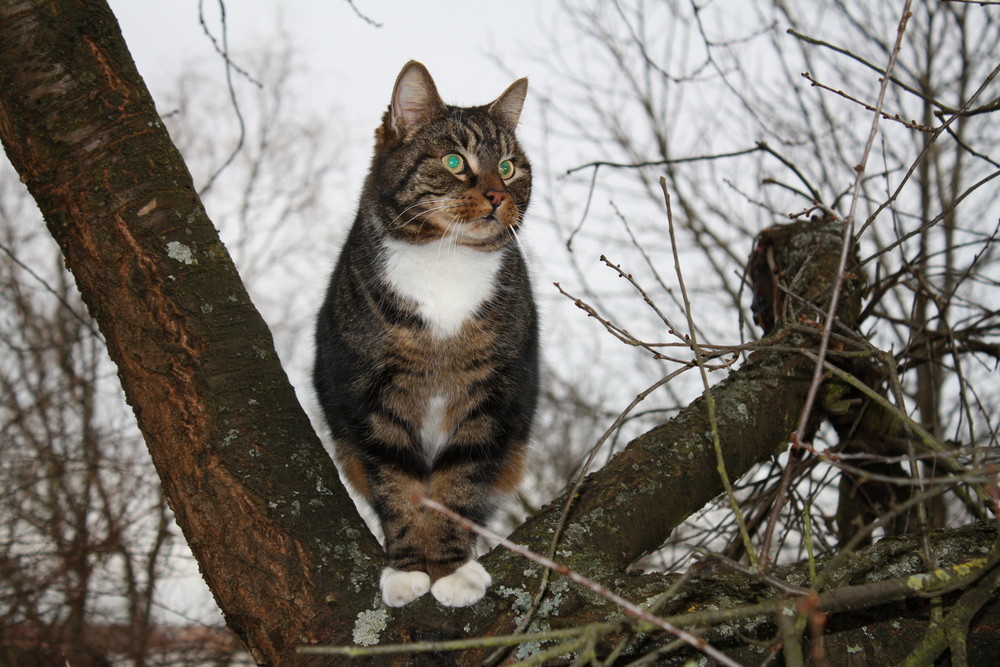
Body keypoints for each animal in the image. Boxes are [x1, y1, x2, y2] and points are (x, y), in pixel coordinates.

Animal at [316, 60, 540, 608]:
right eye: (456, 161)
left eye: (508, 167)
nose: (498, 195)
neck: (446, 261)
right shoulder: (373, 393)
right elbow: (398, 483)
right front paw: (407, 569)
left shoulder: (492, 392)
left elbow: (461, 480)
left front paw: (452, 569)